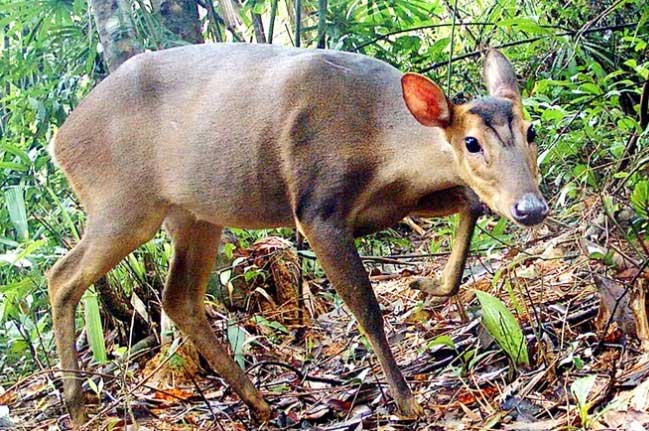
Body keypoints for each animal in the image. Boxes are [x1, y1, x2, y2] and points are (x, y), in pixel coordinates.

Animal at [49, 44, 548, 426]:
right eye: (471, 142)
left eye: (531, 130)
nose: (530, 207)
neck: (381, 142)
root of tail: (59, 142)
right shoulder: (316, 207)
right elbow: (367, 309)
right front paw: (407, 402)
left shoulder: (395, 203)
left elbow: (471, 203)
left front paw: (429, 283)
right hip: (122, 203)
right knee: (62, 277)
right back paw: (76, 407)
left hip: (194, 214)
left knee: (178, 298)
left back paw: (258, 402)